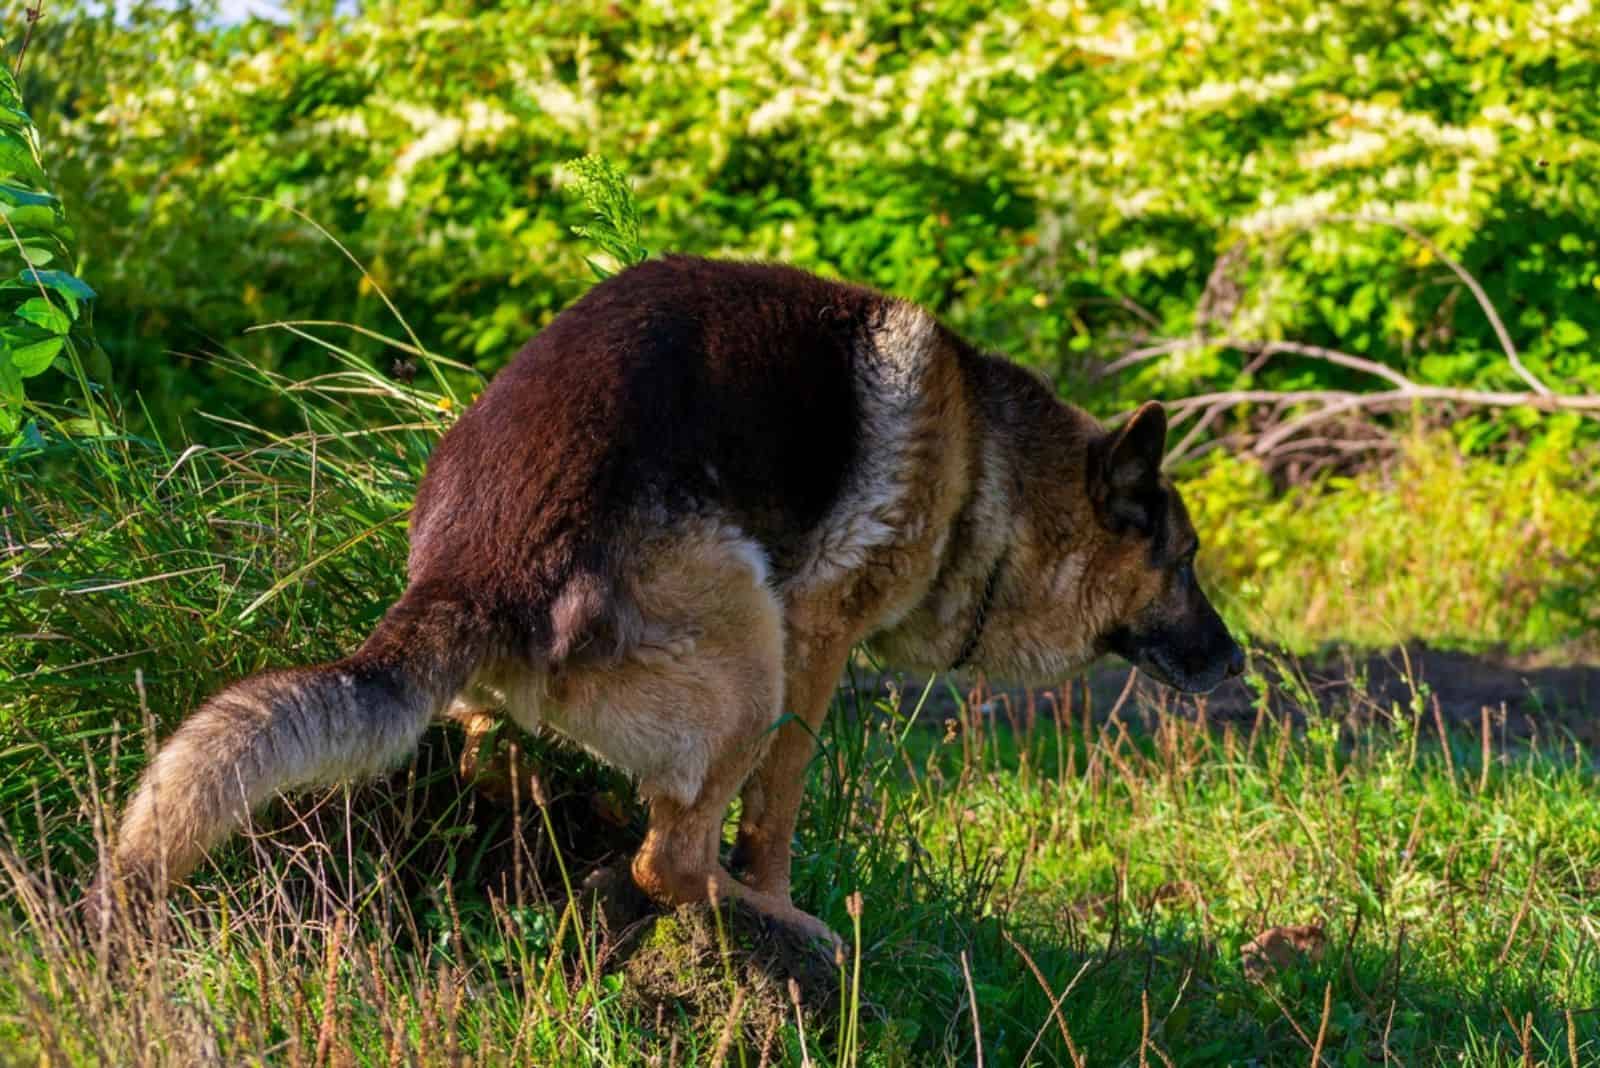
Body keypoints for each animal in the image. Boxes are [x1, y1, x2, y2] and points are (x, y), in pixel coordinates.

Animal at [93, 255, 1241, 940]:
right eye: (1184, 562)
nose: (1236, 661)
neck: (987, 470)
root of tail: (482, 565)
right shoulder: (818, 642)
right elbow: (777, 807)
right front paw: (775, 894)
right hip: (752, 657)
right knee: (670, 861)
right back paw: (759, 918)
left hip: (508, 680)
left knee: (492, 759)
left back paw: (570, 813)